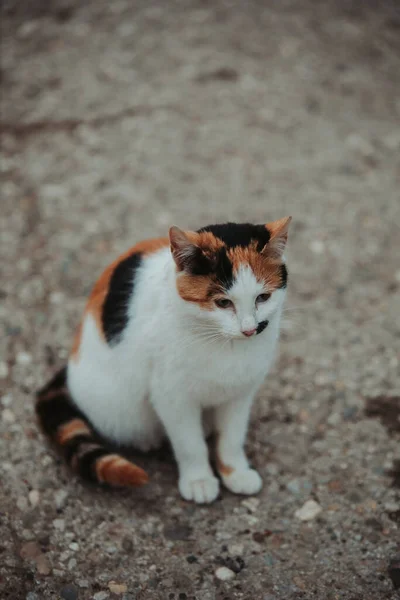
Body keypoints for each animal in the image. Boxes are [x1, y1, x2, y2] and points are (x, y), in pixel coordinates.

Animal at [36, 218, 290, 504]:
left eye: (263, 297)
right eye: (223, 303)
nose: (249, 330)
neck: (225, 345)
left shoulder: (239, 395)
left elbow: (232, 438)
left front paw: (235, 472)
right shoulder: (172, 397)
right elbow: (189, 443)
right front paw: (199, 480)